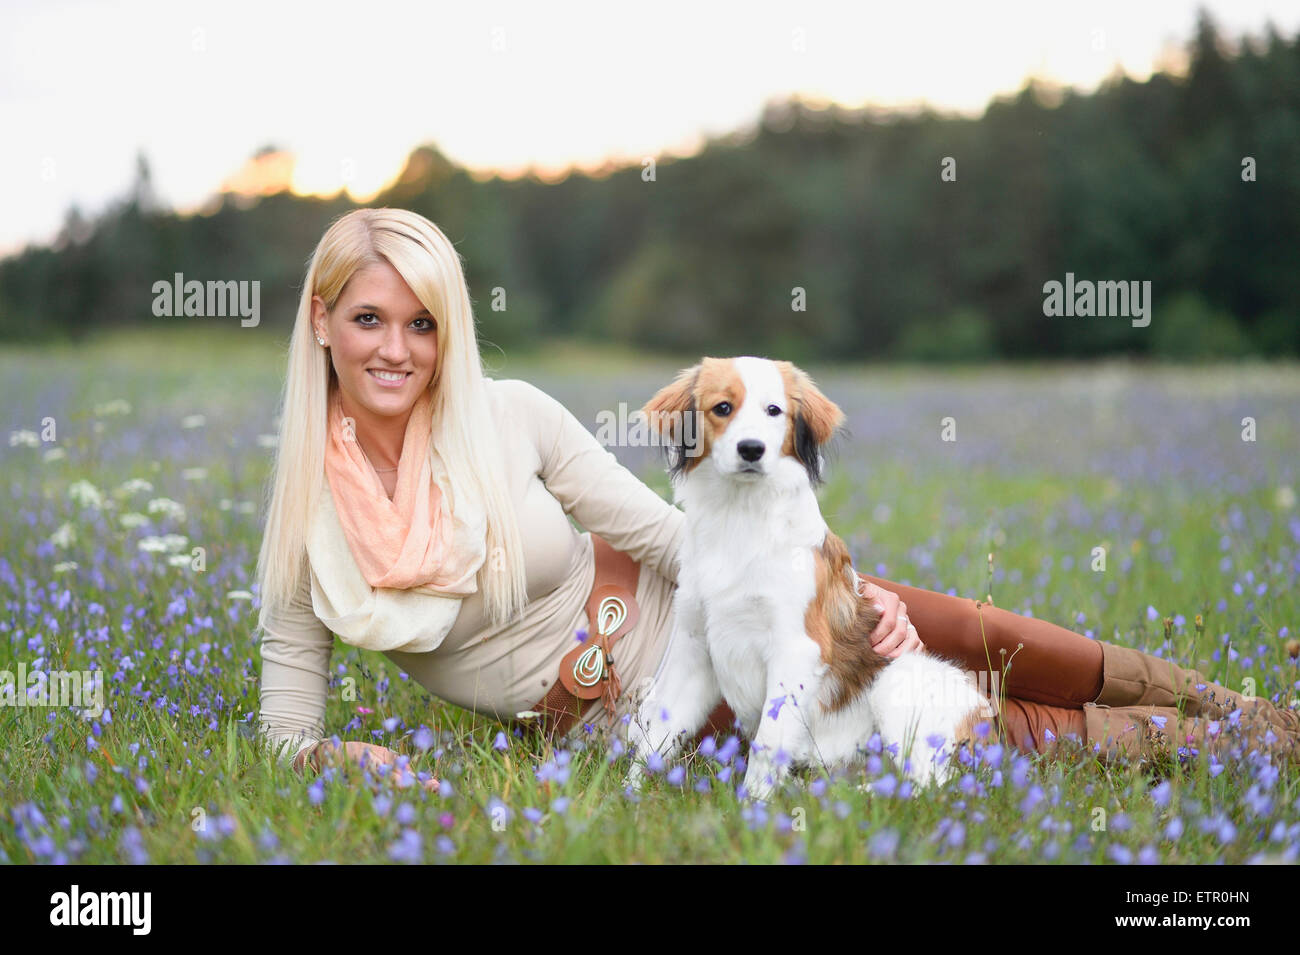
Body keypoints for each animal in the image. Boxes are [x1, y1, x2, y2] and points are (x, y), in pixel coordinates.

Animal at [624, 358, 987, 800]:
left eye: (774, 411)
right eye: (722, 408)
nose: (752, 449)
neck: (741, 516)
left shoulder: (795, 650)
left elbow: (767, 742)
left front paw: (753, 805)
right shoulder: (695, 648)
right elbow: (659, 729)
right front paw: (627, 796)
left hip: (898, 683)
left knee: (927, 786)